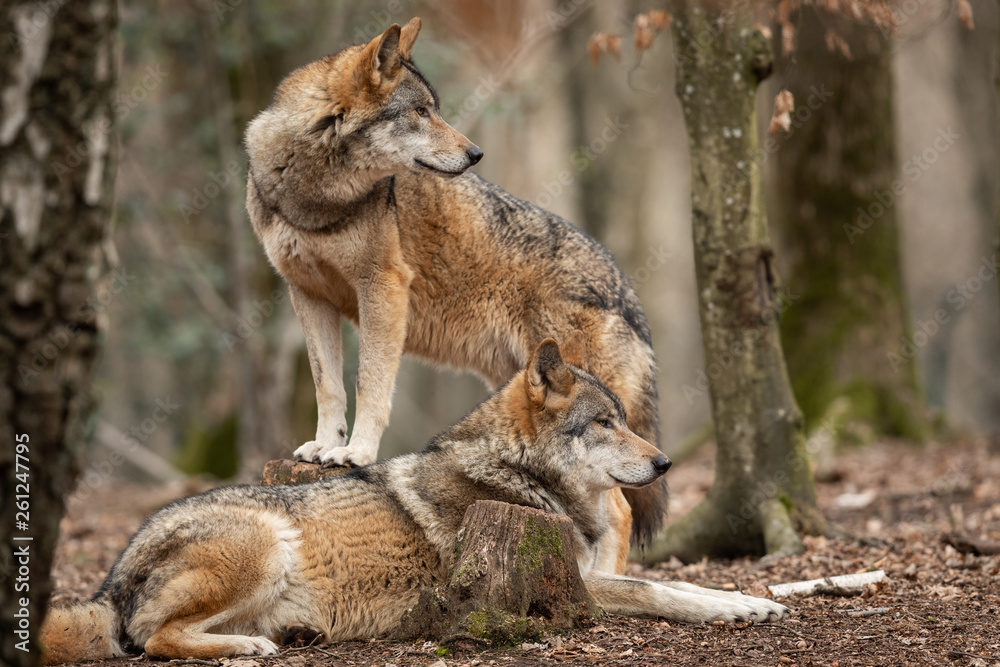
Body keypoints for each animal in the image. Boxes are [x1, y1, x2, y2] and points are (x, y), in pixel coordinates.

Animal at [40, 336, 788, 663]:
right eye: (603, 423)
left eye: (624, 419)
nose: (664, 462)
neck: (522, 474)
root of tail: (111, 576)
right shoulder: (574, 585)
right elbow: (665, 590)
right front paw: (745, 604)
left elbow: (664, 579)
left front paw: (753, 599)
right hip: (262, 544)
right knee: (149, 638)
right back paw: (248, 646)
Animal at [243, 17, 666, 548]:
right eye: (421, 112)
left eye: (435, 110)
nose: (476, 153)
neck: (316, 199)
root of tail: (628, 291)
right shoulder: (307, 294)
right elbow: (329, 387)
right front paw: (324, 446)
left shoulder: (382, 288)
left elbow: (370, 382)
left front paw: (356, 453)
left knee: (621, 512)